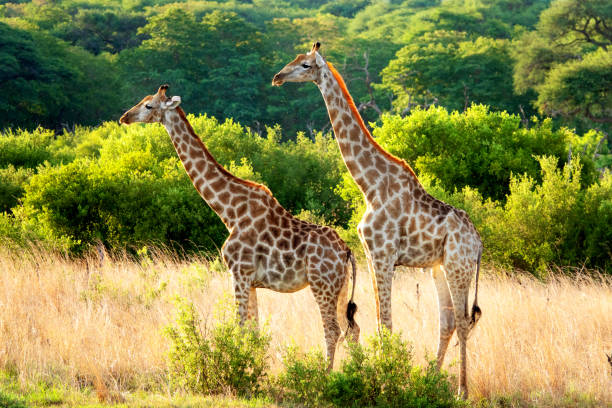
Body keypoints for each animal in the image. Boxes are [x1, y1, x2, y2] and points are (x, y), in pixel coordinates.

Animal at [119, 86, 358, 366]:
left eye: (149, 105)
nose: (124, 117)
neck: (228, 211)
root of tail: (346, 252)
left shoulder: (239, 273)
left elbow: (240, 327)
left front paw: (241, 367)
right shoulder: (251, 281)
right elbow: (254, 331)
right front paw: (255, 368)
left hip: (322, 284)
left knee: (333, 330)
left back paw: (326, 372)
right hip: (340, 288)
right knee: (352, 329)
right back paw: (360, 368)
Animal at [274, 43, 482, 396]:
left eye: (305, 65)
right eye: (294, 59)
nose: (277, 77)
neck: (369, 184)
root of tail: (479, 242)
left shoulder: (384, 254)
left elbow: (386, 321)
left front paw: (387, 381)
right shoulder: (371, 255)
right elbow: (377, 319)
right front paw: (383, 376)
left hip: (459, 266)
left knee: (465, 320)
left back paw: (461, 391)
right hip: (438, 267)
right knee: (449, 320)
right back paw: (431, 379)